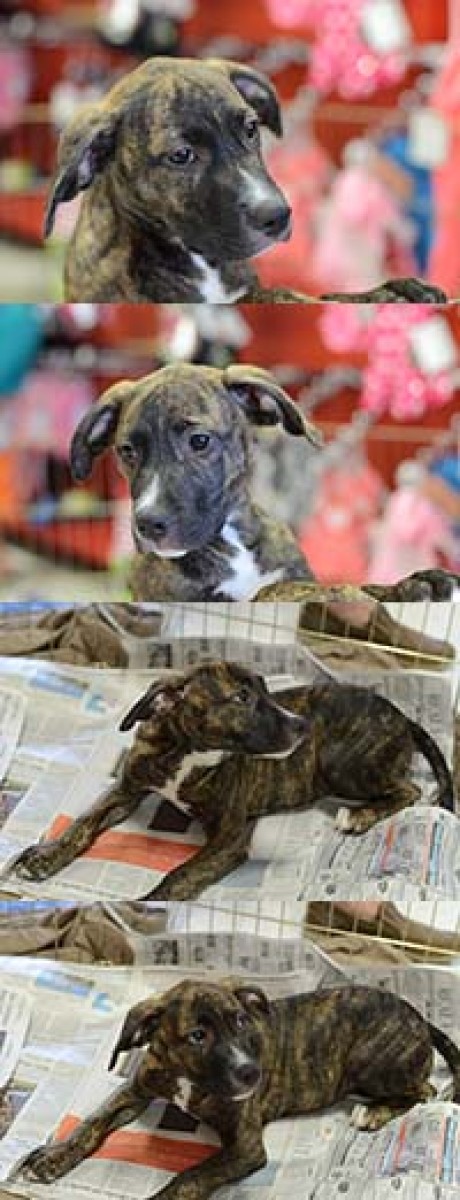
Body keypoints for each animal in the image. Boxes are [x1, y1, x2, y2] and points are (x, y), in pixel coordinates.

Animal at [13, 661, 454, 899]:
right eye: (242, 697)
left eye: (265, 690)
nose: (303, 726)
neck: (189, 752)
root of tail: (403, 717)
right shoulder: (127, 789)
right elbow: (84, 822)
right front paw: (45, 857)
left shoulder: (231, 837)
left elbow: (179, 874)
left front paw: (148, 906)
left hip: (341, 766)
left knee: (410, 789)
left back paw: (358, 817)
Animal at [18, 978, 460, 1199]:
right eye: (197, 1036)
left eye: (242, 1021)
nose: (252, 1074)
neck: (190, 1078)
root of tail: (419, 1018)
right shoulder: (136, 1090)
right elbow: (91, 1123)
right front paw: (52, 1158)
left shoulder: (246, 1147)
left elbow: (190, 1177)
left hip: (369, 1061)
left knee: (425, 1091)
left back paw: (374, 1111)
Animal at [44, 55, 447, 305]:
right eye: (181, 156)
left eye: (251, 128)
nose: (277, 216)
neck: (204, 264)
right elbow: (285, 295)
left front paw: (397, 288)